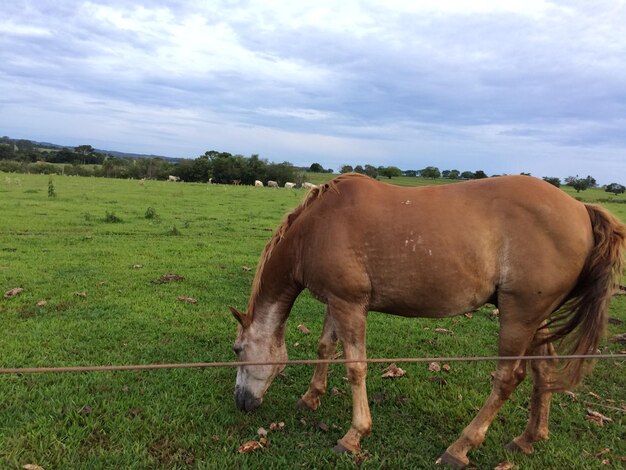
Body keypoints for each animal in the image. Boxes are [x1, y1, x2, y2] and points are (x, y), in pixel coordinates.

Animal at [230, 174, 624, 468]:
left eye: (236, 350)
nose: (240, 401)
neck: (315, 228)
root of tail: (581, 209)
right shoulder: (336, 301)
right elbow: (325, 347)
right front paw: (311, 397)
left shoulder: (350, 305)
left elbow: (355, 367)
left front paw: (354, 435)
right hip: (535, 317)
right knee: (544, 369)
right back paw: (528, 438)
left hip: (518, 315)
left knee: (507, 378)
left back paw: (460, 447)